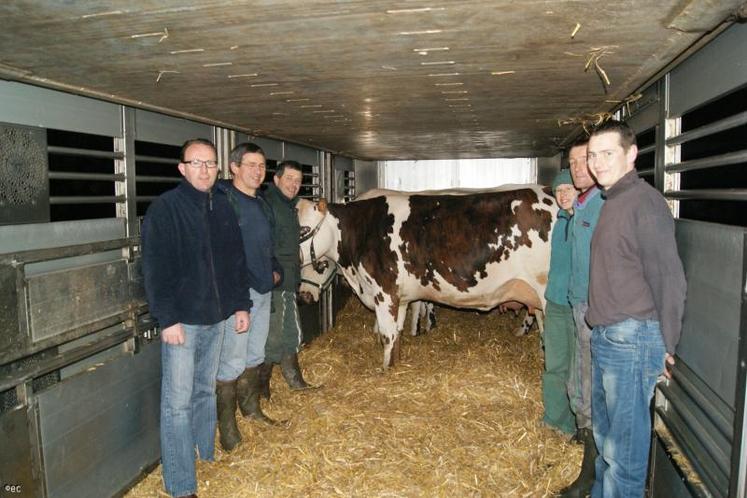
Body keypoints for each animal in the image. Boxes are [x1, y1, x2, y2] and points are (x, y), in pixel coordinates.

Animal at [296, 185, 560, 368]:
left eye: (304, 229)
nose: (304, 297)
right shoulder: (400, 297)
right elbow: (397, 336)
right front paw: (395, 367)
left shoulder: (384, 292)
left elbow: (387, 336)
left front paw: (383, 371)